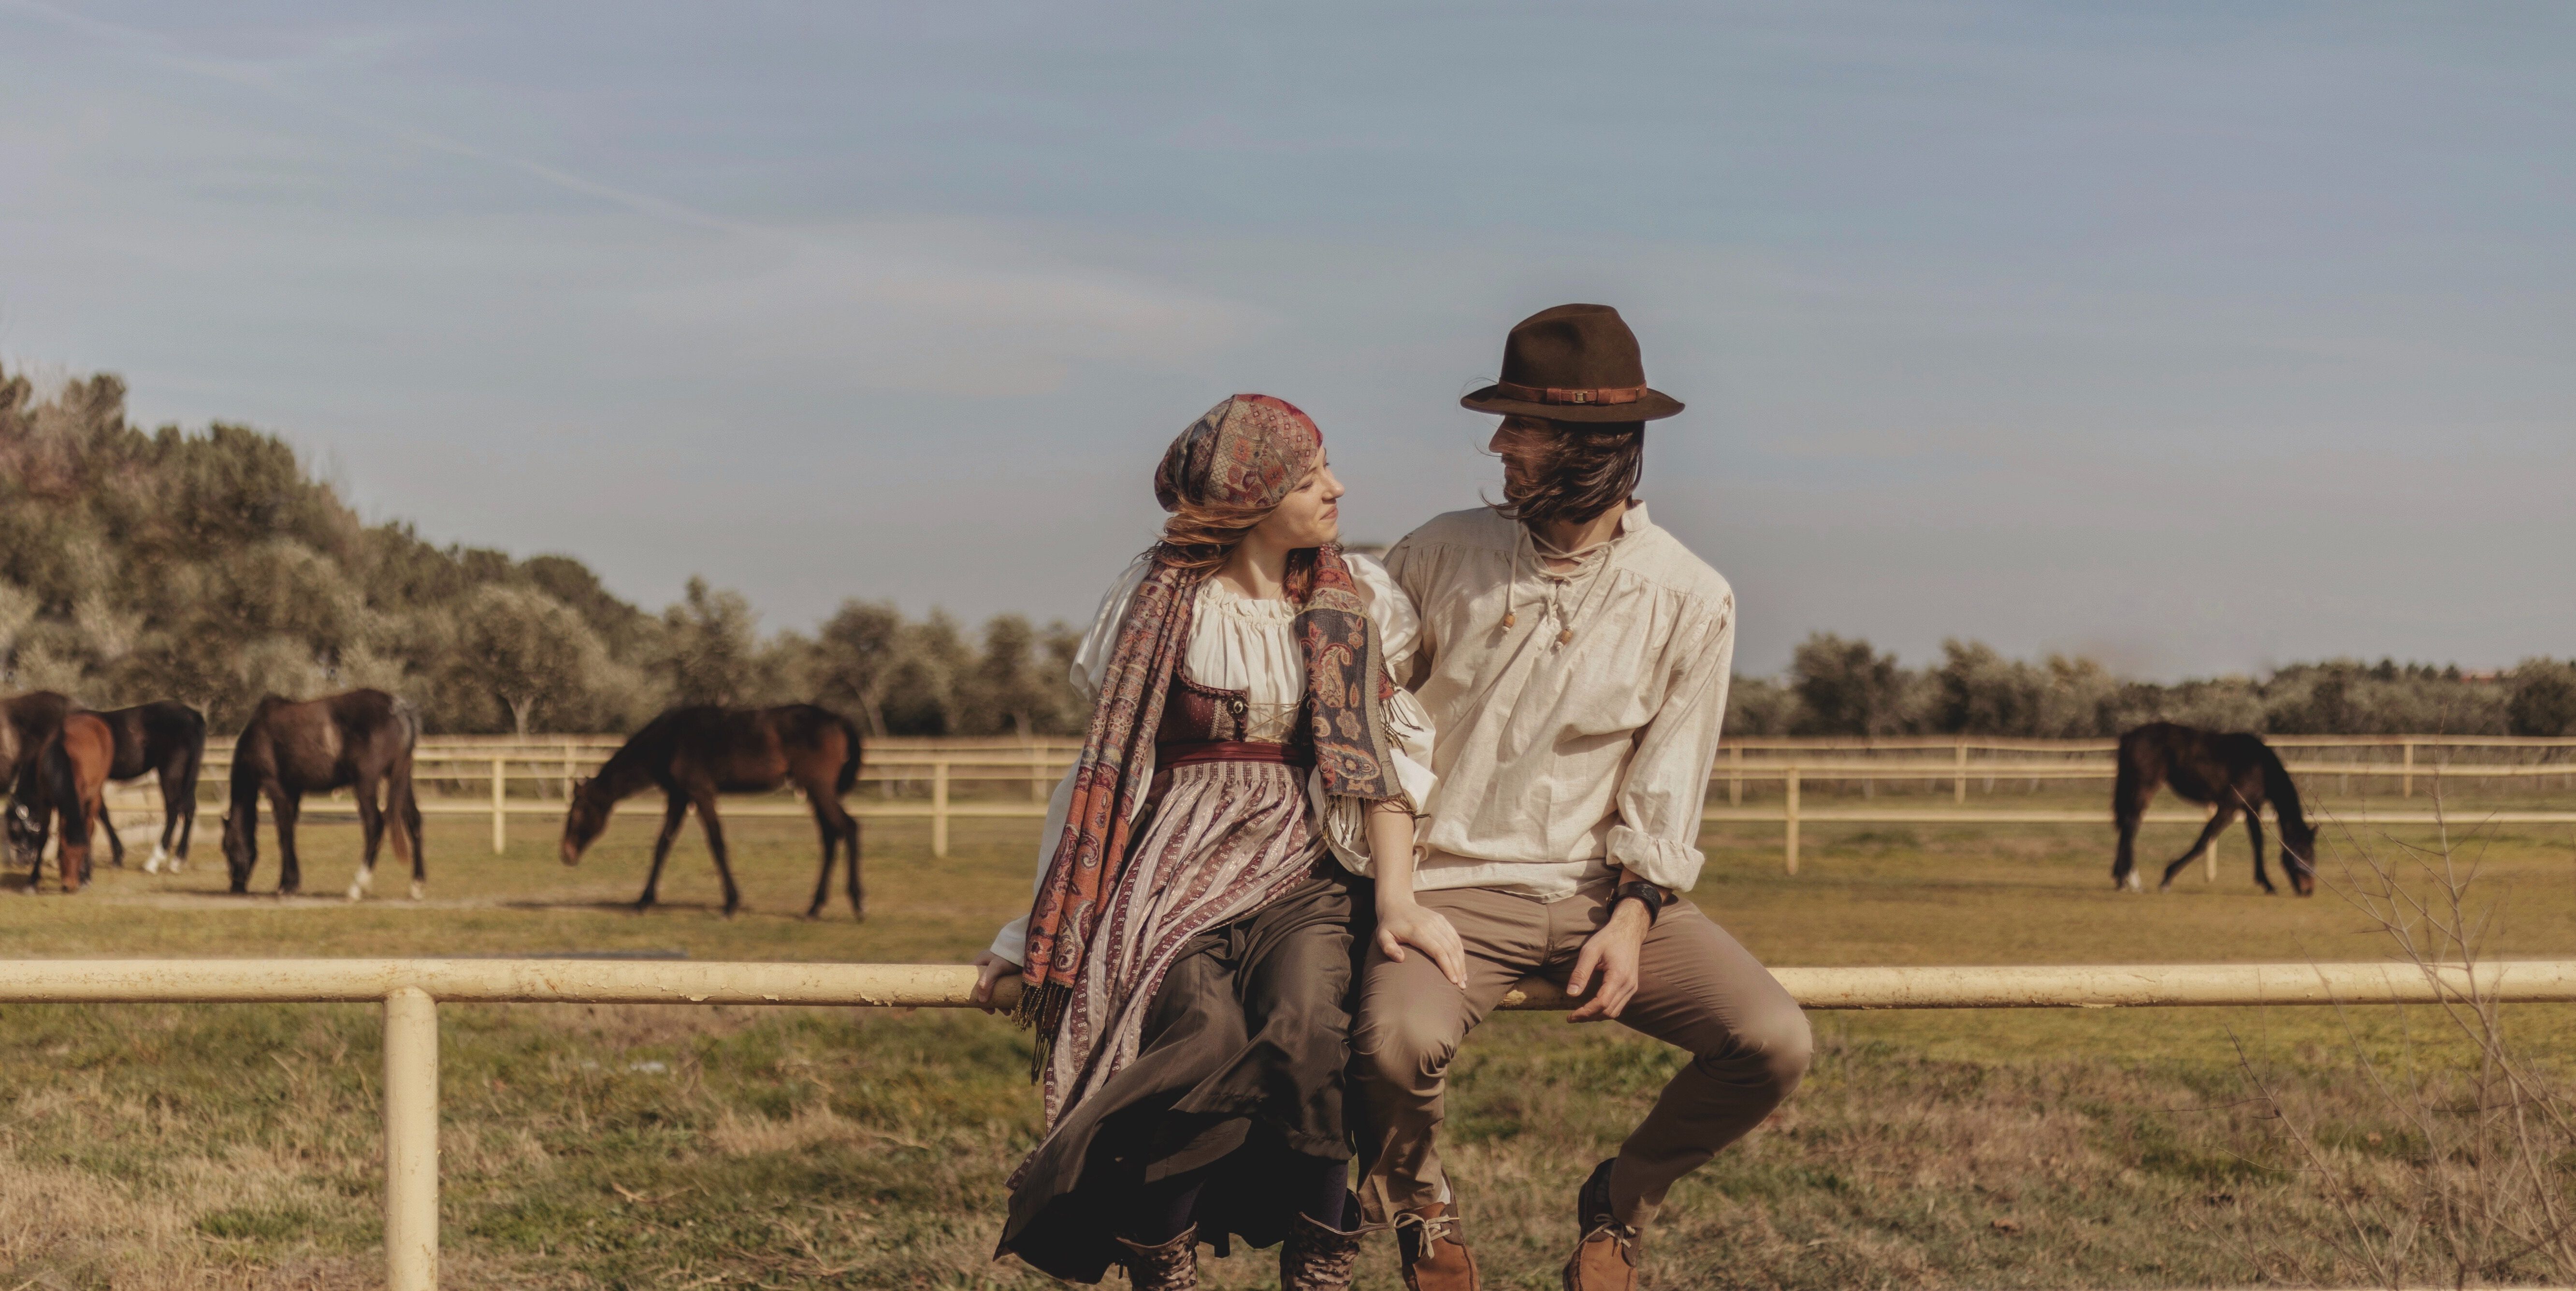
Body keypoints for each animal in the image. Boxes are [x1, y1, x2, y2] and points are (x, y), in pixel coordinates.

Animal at [8, 711, 112, 891]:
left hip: (95, 795)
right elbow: (43, 837)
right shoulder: (46, 802)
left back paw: (87, 875)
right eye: (61, 851)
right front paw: (33, 880)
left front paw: (84, 876)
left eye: (81, 852)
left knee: (90, 828)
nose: (70, 886)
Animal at [92, 701, 208, 871]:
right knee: (189, 809)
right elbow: (101, 812)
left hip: (171, 774)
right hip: (186, 777)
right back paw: (177, 860)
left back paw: (154, 861)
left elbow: (101, 813)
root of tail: (194, 716)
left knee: (174, 810)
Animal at [221, 696, 422, 897]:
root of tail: (397, 708)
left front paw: (287, 884)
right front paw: (289, 882)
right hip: (400, 777)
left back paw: (357, 887)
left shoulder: (276, 787)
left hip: (366, 783)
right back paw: (417, 885)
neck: (258, 731)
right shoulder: (294, 791)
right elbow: (290, 830)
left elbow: (284, 832)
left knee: (375, 826)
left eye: (226, 846)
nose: (235, 887)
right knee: (414, 821)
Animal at [556, 706, 865, 917]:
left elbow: (716, 843)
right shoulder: (679, 797)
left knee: (848, 828)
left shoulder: (701, 794)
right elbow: (663, 844)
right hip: (816, 792)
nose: (566, 854)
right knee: (831, 836)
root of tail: (836, 719)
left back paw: (857, 903)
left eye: (578, 812)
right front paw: (644, 900)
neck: (670, 740)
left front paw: (731, 903)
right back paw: (814, 907)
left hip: (819, 789)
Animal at [2112, 727, 2318, 897]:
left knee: (2127, 826)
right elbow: (2204, 841)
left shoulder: (2251, 808)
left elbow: (2258, 842)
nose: (2309, 890)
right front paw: (2167, 878)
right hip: (2144, 788)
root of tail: (2131, 736)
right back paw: (2133, 881)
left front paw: (2268, 884)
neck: (2260, 767)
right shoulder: (2229, 807)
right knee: (2131, 825)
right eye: (2305, 853)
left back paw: (2121, 880)